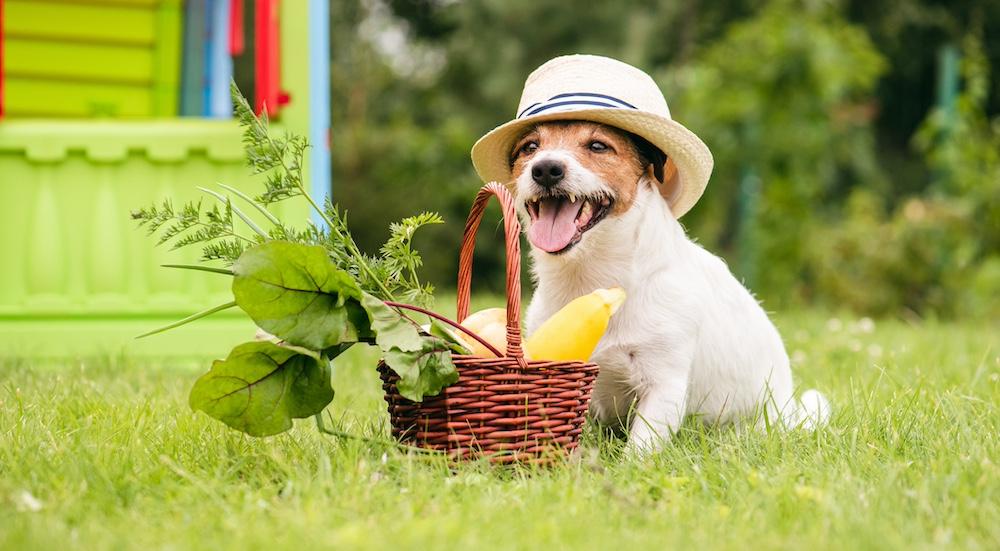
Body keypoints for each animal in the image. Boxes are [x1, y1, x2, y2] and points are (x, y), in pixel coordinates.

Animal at [472, 55, 832, 452]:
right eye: (530, 147)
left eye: (598, 146)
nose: (546, 169)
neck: (593, 277)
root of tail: (789, 412)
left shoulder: (665, 384)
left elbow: (640, 448)